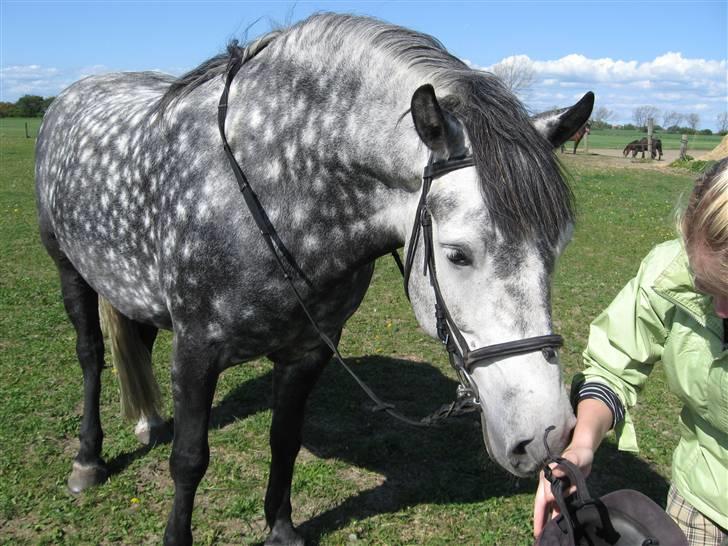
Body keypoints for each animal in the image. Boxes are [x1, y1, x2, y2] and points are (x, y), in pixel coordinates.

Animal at [35, 13, 592, 544]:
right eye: (458, 254)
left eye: (559, 247)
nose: (546, 434)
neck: (278, 189)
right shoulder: (196, 350)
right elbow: (190, 459)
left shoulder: (307, 350)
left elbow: (285, 441)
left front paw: (281, 529)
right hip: (69, 269)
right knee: (91, 356)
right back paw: (88, 460)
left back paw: (148, 421)